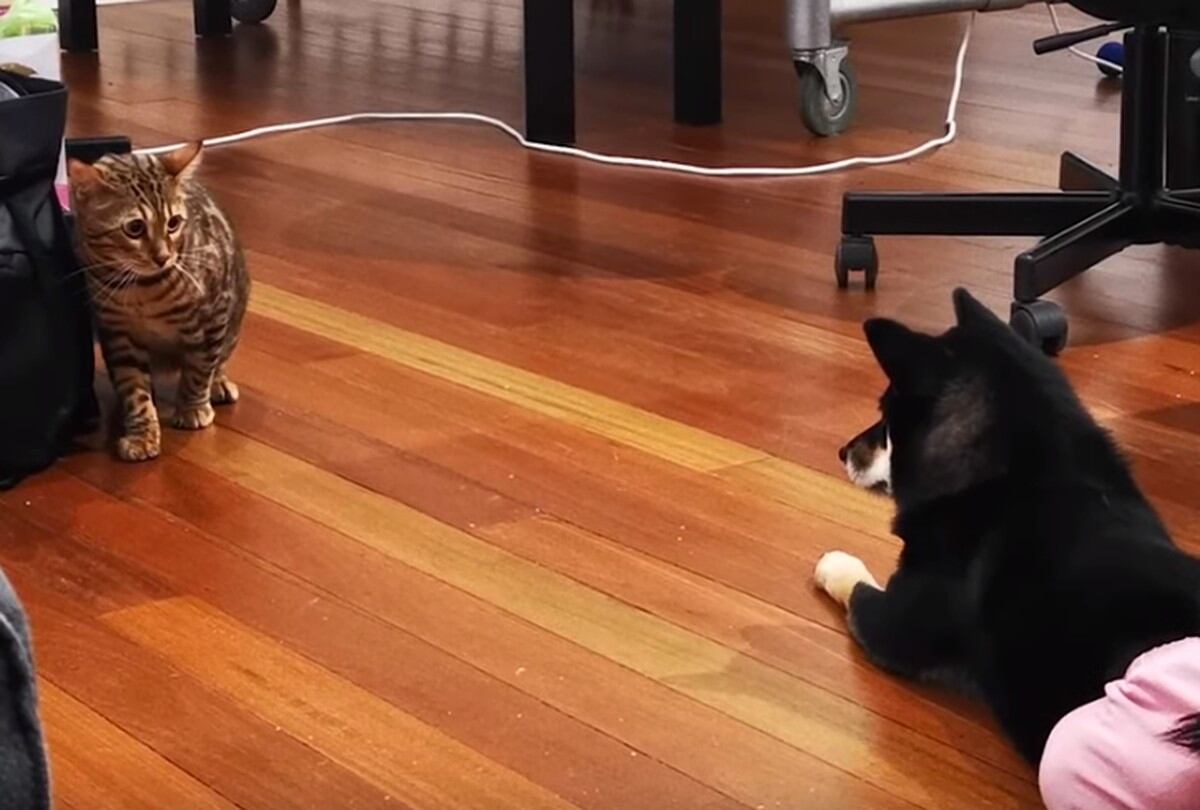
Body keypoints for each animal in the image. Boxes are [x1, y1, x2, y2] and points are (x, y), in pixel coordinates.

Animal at [66, 145, 249, 463]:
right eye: (134, 228)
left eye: (173, 223)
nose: (163, 257)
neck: (143, 290)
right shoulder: (117, 334)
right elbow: (133, 389)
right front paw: (142, 434)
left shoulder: (213, 314)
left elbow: (199, 369)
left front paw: (192, 408)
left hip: (234, 314)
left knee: (219, 358)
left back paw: (218, 384)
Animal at [816, 291, 1200, 768]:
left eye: (886, 417)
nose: (841, 451)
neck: (1032, 471)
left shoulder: (893, 622)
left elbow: (855, 584)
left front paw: (833, 563)